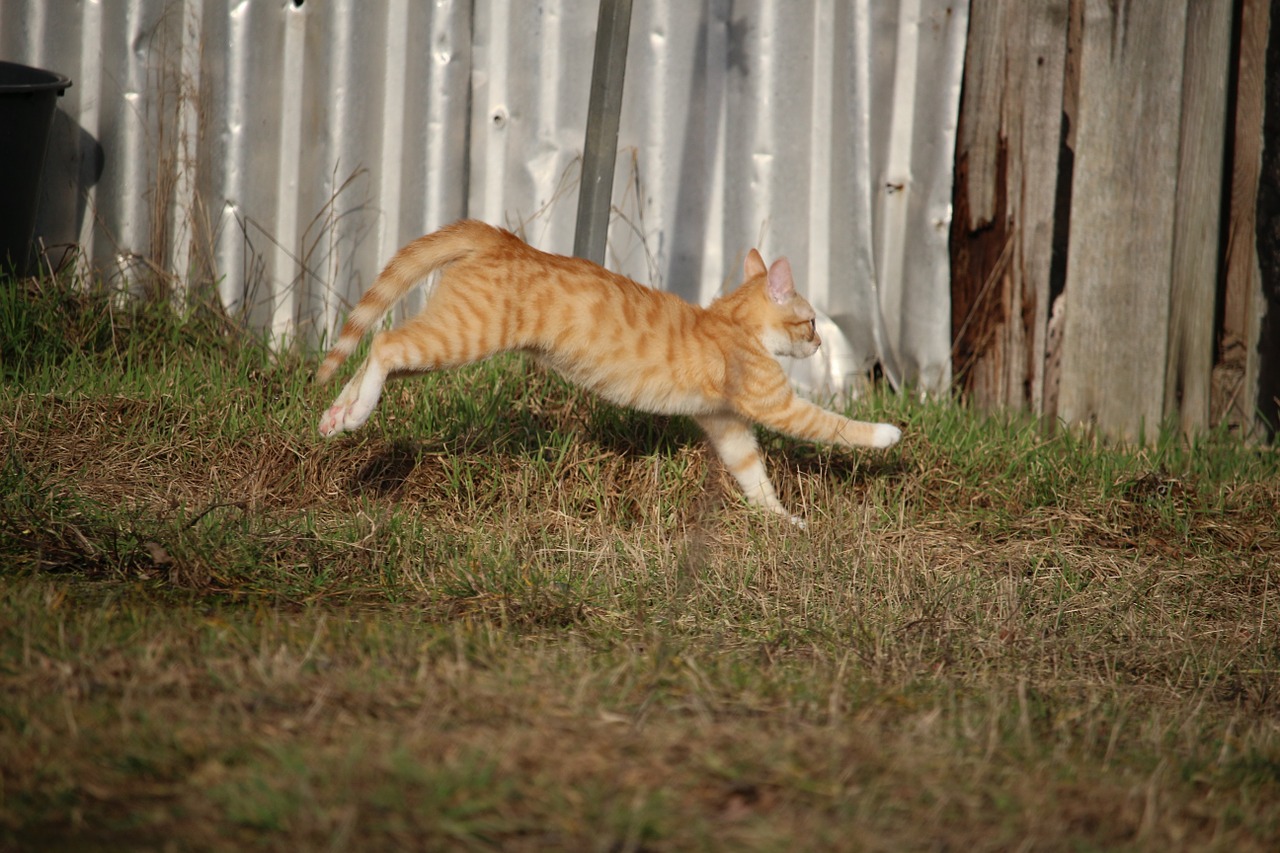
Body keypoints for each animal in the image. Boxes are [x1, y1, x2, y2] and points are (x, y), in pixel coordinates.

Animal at [318, 217, 901, 525]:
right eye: (810, 322)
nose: (821, 341)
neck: (732, 322)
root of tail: (503, 237)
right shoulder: (774, 405)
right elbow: (834, 425)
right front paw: (887, 433)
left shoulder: (726, 424)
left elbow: (754, 475)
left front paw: (781, 521)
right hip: (460, 337)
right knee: (385, 344)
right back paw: (356, 412)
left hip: (442, 342)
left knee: (372, 355)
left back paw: (340, 415)